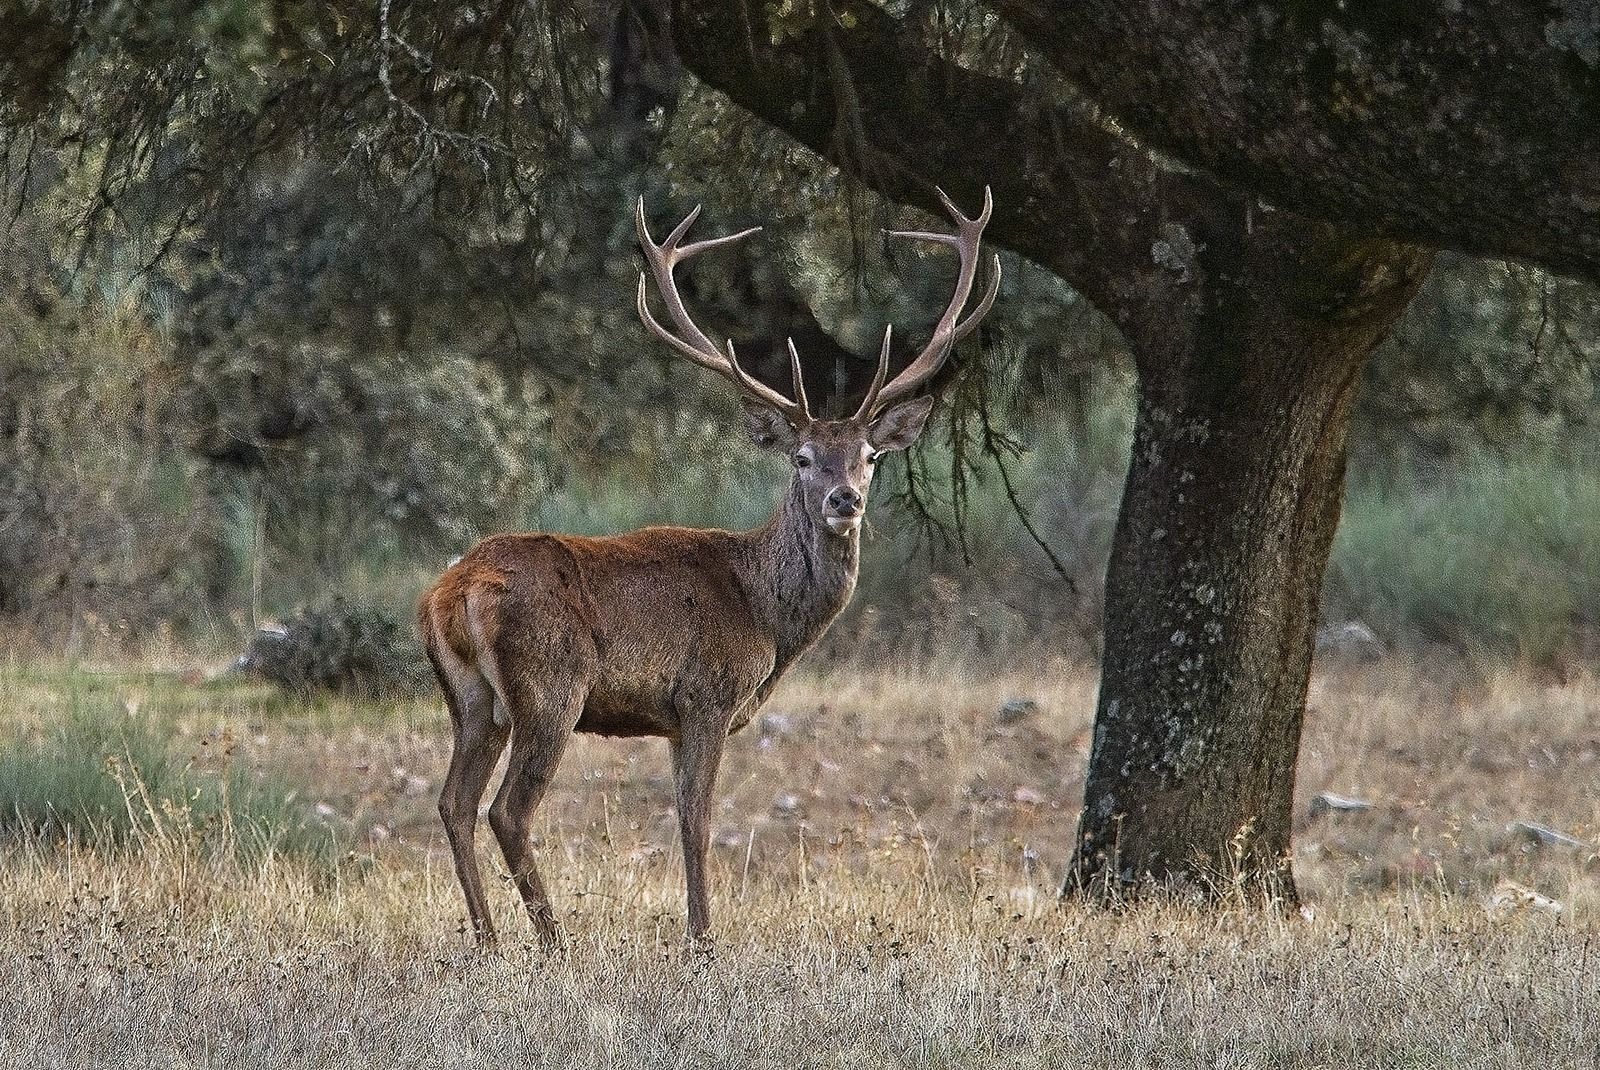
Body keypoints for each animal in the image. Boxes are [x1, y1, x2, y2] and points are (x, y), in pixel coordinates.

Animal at [418, 188, 1000, 947]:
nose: (844, 499)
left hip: (471, 699)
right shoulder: (707, 696)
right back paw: (553, 942)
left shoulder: (673, 718)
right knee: (507, 810)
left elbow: (685, 814)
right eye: (802, 458)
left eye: (870, 456)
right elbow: (697, 819)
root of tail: (452, 592)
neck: (766, 614)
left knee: (453, 803)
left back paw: (488, 941)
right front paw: (703, 940)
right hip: (550, 685)